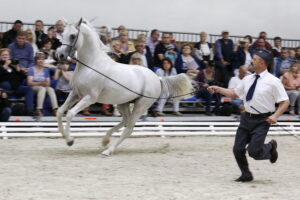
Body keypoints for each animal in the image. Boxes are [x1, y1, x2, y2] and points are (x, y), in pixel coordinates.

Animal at [55, 18, 193, 155]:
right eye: (62, 34)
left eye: (73, 36)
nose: (60, 55)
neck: (91, 65)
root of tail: (157, 78)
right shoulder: (75, 93)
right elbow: (60, 111)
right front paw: (64, 136)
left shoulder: (89, 98)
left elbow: (70, 113)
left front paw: (70, 140)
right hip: (123, 103)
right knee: (125, 121)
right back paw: (105, 141)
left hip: (140, 105)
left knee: (129, 128)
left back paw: (108, 150)